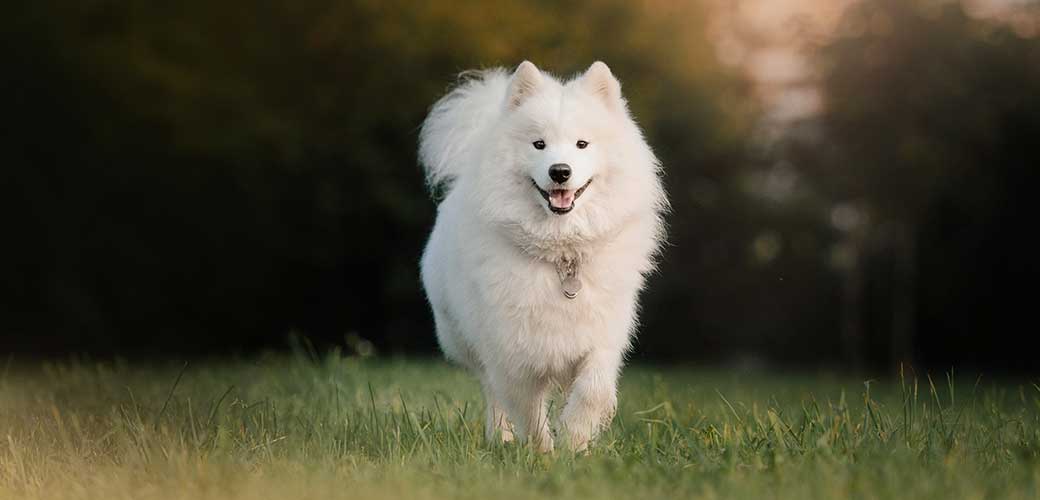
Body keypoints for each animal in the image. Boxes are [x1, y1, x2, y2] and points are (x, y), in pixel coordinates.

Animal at [416, 60, 665, 451]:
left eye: (582, 144)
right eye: (539, 144)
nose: (560, 171)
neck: (561, 255)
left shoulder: (602, 337)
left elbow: (593, 390)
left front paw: (575, 442)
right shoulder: (512, 352)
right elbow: (528, 408)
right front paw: (543, 453)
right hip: (466, 340)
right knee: (492, 393)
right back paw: (500, 439)